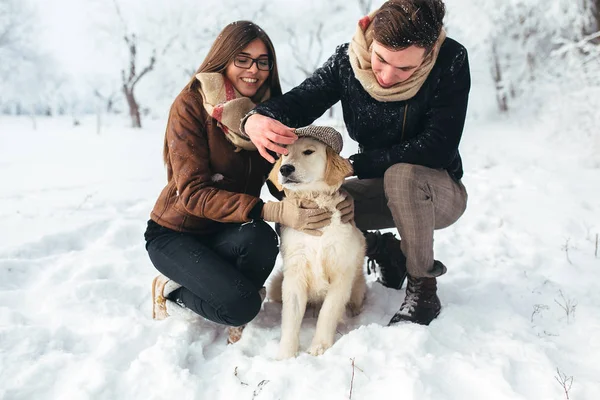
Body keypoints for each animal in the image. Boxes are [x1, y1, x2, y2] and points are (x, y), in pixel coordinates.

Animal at [268, 126, 366, 358]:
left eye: (309, 151)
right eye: (285, 153)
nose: (285, 169)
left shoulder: (341, 275)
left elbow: (328, 313)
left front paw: (319, 346)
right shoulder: (294, 274)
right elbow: (290, 319)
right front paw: (286, 355)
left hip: (357, 285)